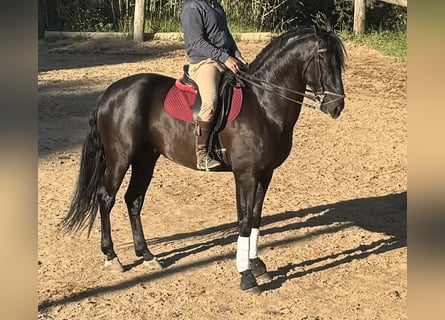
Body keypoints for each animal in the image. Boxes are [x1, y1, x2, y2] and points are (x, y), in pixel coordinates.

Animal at [62, 26, 346, 294]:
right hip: (121, 157)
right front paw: (246, 276)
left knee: (133, 199)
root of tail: (111, 93)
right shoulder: (246, 174)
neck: (264, 104)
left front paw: (257, 265)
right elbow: (244, 220)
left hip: (145, 158)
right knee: (106, 198)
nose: (336, 107)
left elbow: (256, 217)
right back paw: (112, 257)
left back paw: (147, 255)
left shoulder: (265, 173)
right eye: (323, 59)